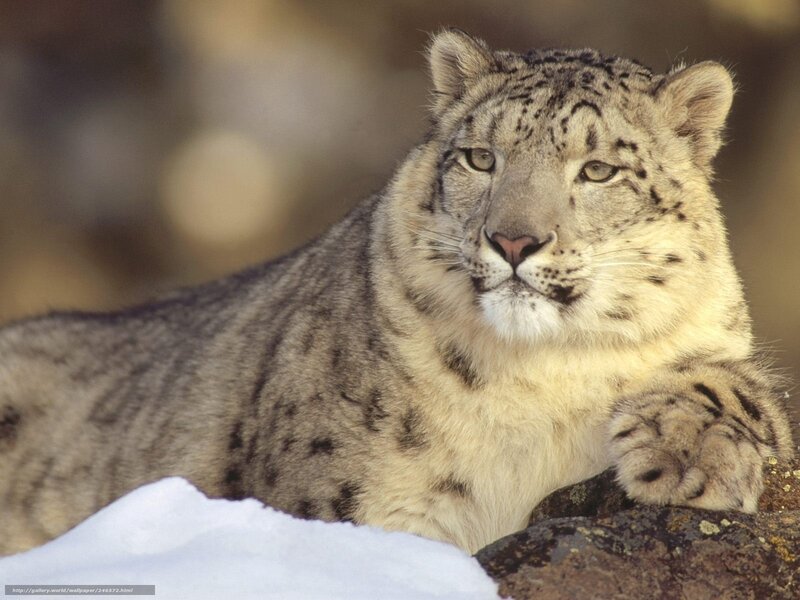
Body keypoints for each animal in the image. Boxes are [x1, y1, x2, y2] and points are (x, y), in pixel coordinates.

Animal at [0, 29, 793, 555]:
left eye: (598, 170)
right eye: (479, 157)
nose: (513, 241)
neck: (544, 376)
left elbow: (743, 388)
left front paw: (688, 459)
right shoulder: (357, 504)